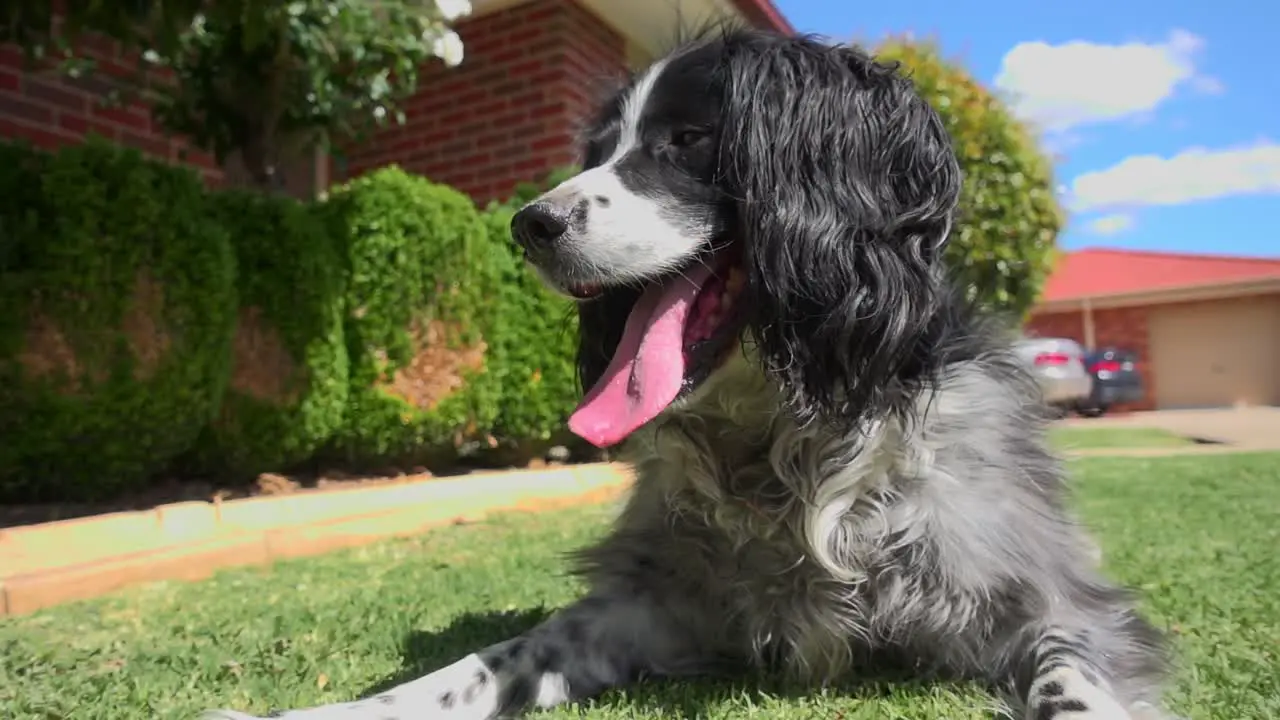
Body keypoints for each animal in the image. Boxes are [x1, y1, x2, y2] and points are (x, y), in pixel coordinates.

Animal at [204, 26, 1172, 717]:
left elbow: (1071, 676)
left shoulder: (1058, 604)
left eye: (689, 138)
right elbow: (483, 665)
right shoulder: (649, 604)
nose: (528, 225)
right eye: (601, 148)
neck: (782, 434)